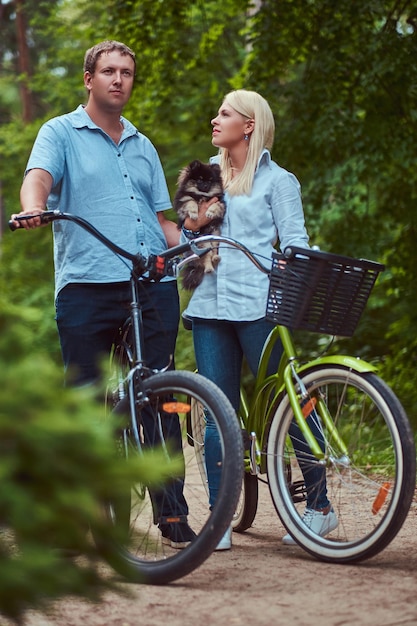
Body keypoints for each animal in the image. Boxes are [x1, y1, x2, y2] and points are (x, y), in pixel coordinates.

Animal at [172, 160, 224, 288]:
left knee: (213, 252)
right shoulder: (184, 200)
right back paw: (209, 268)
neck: (201, 195)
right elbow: (191, 202)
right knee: (206, 257)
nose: (205, 185)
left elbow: (214, 205)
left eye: (210, 181)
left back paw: (215, 258)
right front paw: (194, 214)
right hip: (203, 243)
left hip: (214, 236)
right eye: (199, 180)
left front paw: (210, 212)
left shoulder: (220, 202)